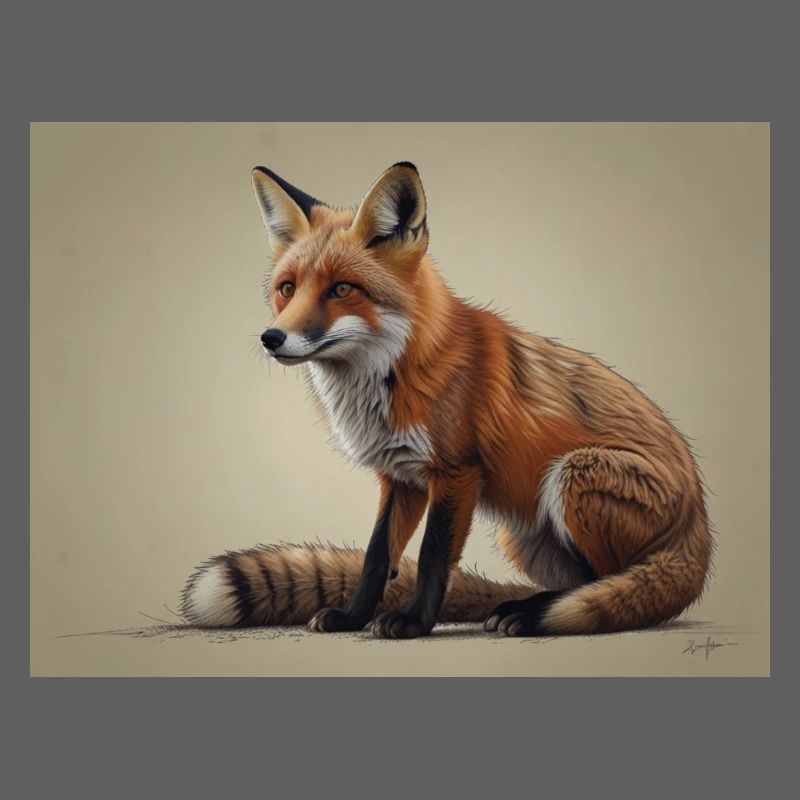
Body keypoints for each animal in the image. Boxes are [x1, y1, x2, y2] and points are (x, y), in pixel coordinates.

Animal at [179, 161, 713, 638]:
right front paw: (353, 618)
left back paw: (529, 614)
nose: (272, 338)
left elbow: (434, 557)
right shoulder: (400, 478)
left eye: (342, 289)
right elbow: (377, 557)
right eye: (287, 289)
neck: (397, 374)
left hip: (572, 473)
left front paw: (413, 625)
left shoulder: (458, 472)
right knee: (585, 584)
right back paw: (520, 606)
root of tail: (699, 528)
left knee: (611, 587)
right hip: (520, 531)